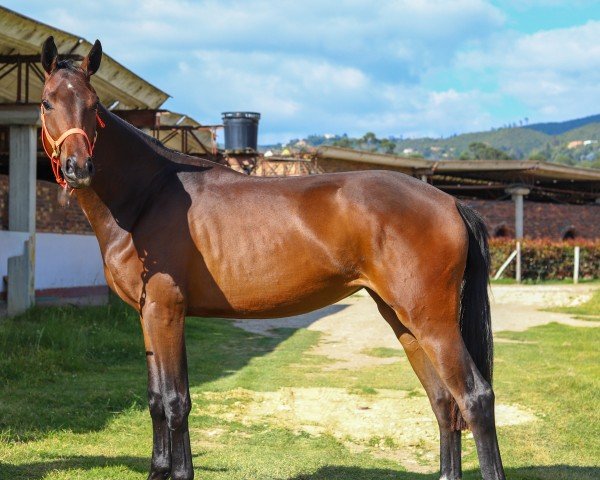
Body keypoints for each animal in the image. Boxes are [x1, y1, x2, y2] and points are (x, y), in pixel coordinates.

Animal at [38, 37, 506, 480]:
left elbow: (175, 400)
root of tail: (448, 201)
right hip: (404, 321)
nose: (79, 167)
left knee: (475, 398)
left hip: (434, 323)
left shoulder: (166, 312)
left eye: (94, 105)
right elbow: (155, 399)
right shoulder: (147, 315)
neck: (148, 196)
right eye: (47, 102)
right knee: (444, 401)